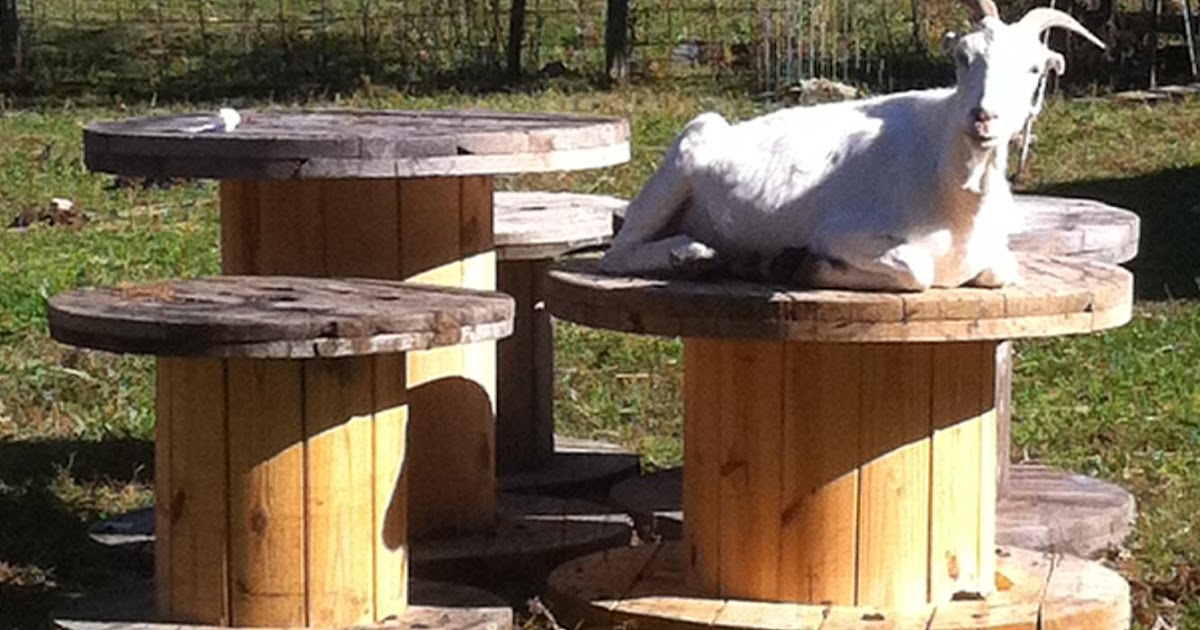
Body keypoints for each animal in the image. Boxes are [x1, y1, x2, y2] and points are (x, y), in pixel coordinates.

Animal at [600, 1, 1105, 291]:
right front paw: (795, 265)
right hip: (678, 166)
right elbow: (917, 271)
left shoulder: (995, 253)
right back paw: (694, 256)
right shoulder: (841, 232)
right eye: (964, 58)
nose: (983, 117)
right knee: (616, 255)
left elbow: (1002, 270)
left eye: (1035, 69)